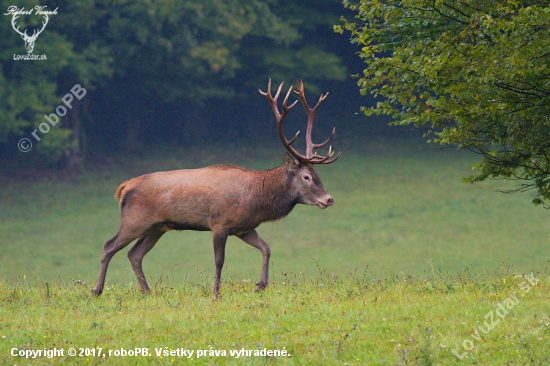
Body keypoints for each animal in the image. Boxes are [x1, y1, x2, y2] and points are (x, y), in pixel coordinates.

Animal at [92, 80, 342, 298]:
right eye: (307, 177)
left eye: (319, 176)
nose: (329, 199)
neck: (256, 200)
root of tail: (124, 186)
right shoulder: (220, 223)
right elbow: (219, 260)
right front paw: (216, 293)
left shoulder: (244, 228)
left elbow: (266, 248)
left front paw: (261, 285)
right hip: (134, 220)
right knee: (109, 245)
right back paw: (97, 290)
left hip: (157, 227)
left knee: (134, 254)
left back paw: (147, 291)